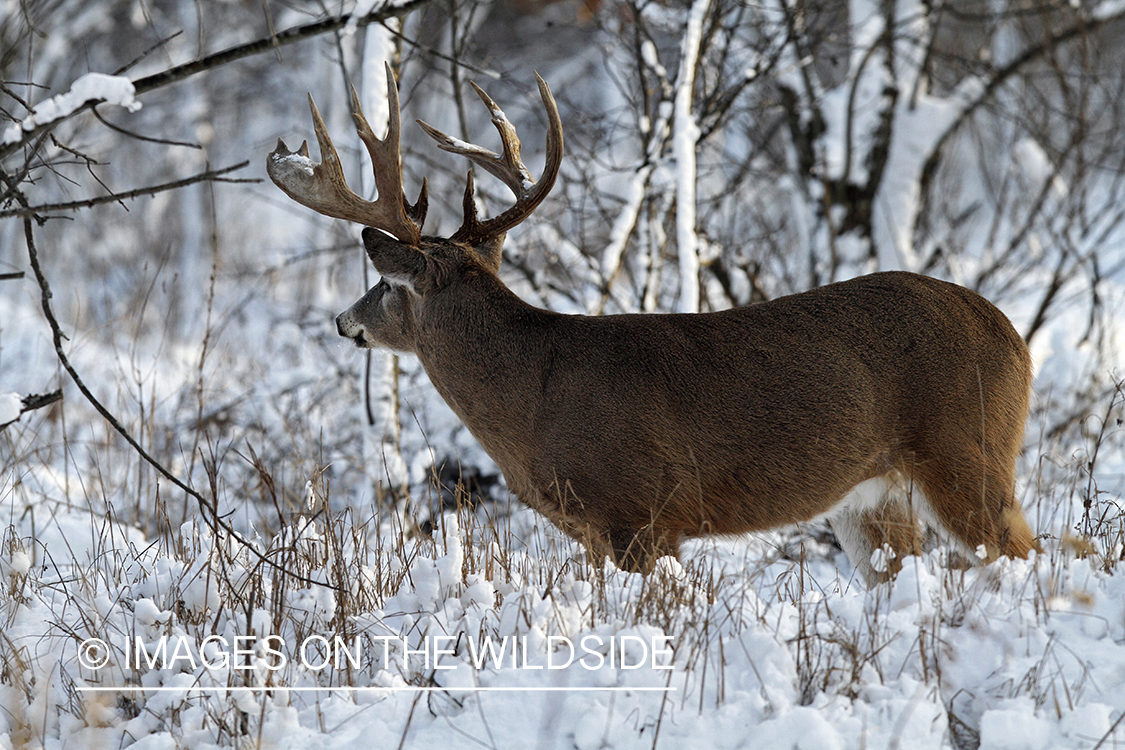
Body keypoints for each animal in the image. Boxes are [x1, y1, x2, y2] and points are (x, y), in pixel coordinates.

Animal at [267, 64, 1039, 584]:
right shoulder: (595, 532)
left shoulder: (640, 514)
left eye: (386, 284)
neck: (531, 396)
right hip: (871, 498)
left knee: (1034, 556)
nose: (343, 320)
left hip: (966, 451)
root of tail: (1014, 337)